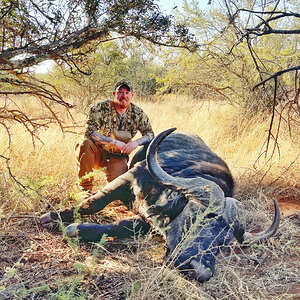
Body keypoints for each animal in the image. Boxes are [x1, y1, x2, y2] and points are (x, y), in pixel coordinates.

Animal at [41, 127, 280, 282]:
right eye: (195, 219)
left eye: (222, 243)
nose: (200, 272)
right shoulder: (129, 177)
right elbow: (94, 203)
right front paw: (55, 217)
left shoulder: (146, 221)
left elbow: (121, 226)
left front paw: (78, 229)